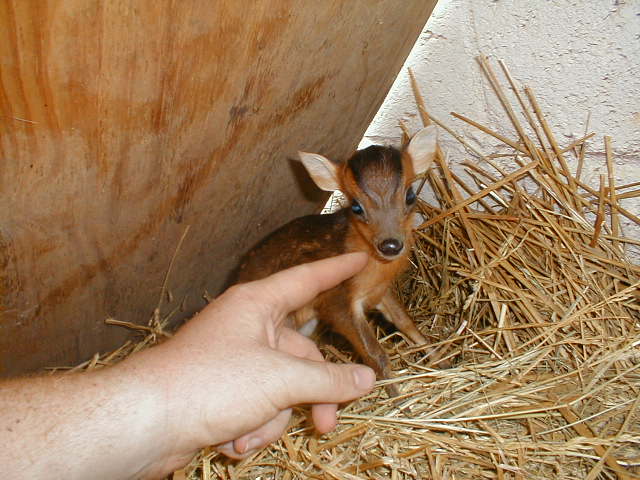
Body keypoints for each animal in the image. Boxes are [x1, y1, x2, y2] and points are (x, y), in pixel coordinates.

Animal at [236, 125, 440, 396]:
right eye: (356, 207)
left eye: (409, 196)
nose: (390, 245)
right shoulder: (336, 300)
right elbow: (374, 353)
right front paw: (397, 398)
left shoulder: (379, 291)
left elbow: (405, 323)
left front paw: (442, 360)